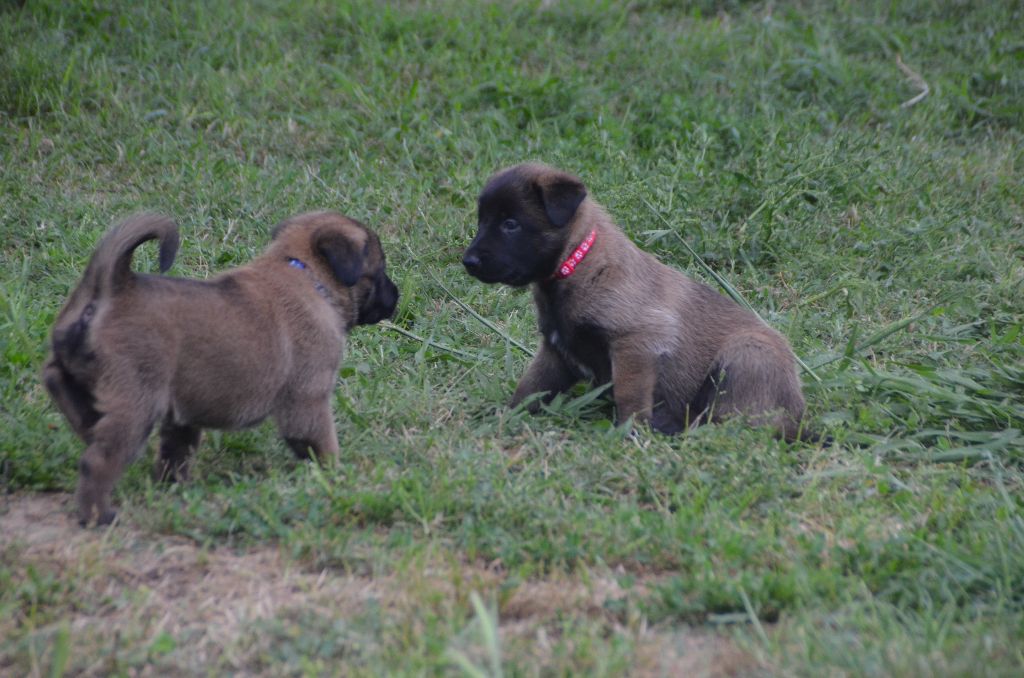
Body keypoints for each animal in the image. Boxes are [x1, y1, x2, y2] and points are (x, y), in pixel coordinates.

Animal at [44, 210, 397, 524]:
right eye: (379, 269)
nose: (396, 295)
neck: (305, 274)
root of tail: (114, 288)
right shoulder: (308, 401)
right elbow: (322, 443)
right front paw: (335, 474)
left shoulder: (181, 416)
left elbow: (176, 453)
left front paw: (176, 488)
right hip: (136, 405)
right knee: (98, 462)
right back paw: (98, 515)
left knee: (55, 378)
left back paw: (85, 423)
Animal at [464, 164, 806, 440]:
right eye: (481, 221)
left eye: (510, 224)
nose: (468, 261)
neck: (576, 263)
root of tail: (798, 421)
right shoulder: (555, 353)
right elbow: (529, 390)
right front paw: (504, 416)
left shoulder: (636, 345)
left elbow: (629, 397)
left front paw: (630, 434)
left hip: (746, 354)